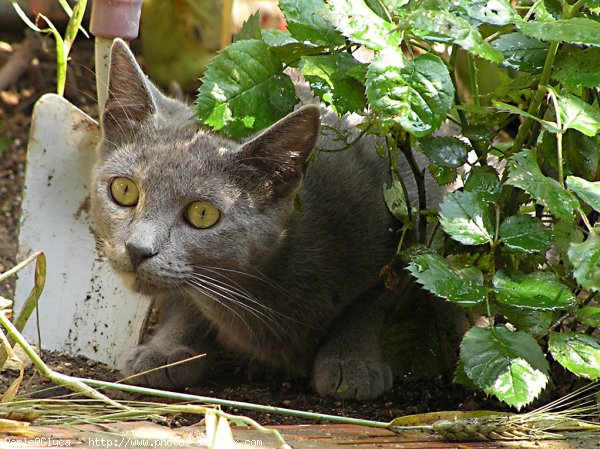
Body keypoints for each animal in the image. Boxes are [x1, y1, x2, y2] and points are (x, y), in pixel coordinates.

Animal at [90, 40, 432, 400]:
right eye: (124, 190)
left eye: (202, 214)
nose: (137, 249)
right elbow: (185, 300)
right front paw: (168, 350)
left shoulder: (414, 221)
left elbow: (374, 299)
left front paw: (352, 361)